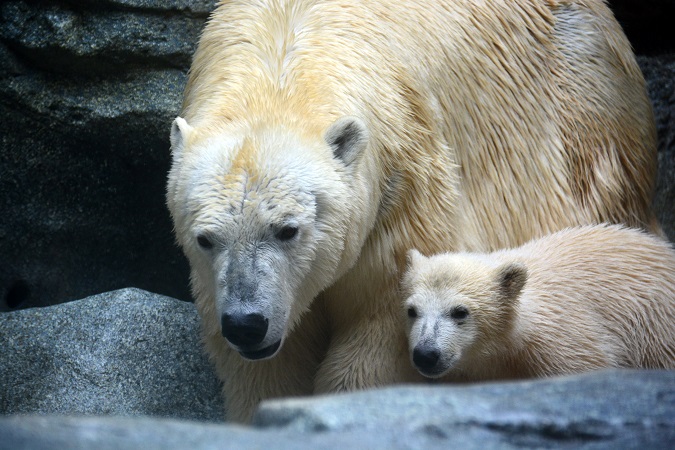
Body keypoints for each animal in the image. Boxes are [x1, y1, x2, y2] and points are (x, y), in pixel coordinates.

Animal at [168, 0, 660, 422]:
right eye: (205, 238)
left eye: (288, 229)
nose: (247, 324)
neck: (282, 59)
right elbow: (267, 364)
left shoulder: (404, 179)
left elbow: (383, 318)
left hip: (587, 119)